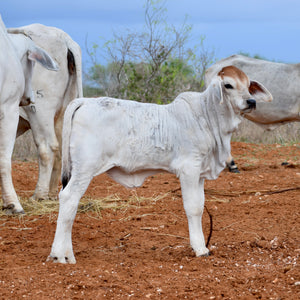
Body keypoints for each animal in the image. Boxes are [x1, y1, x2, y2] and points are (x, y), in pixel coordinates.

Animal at [8, 23, 83, 199]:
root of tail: (64, 39)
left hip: (40, 111)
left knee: (47, 147)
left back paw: (39, 194)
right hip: (63, 111)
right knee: (61, 149)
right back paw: (52, 193)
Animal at [48, 65, 274, 262]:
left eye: (248, 85)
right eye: (228, 85)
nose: (251, 101)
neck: (207, 116)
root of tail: (85, 102)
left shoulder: (200, 173)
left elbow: (201, 206)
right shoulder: (189, 169)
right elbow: (192, 207)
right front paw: (200, 249)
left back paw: (65, 252)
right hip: (84, 169)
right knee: (68, 199)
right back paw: (60, 255)